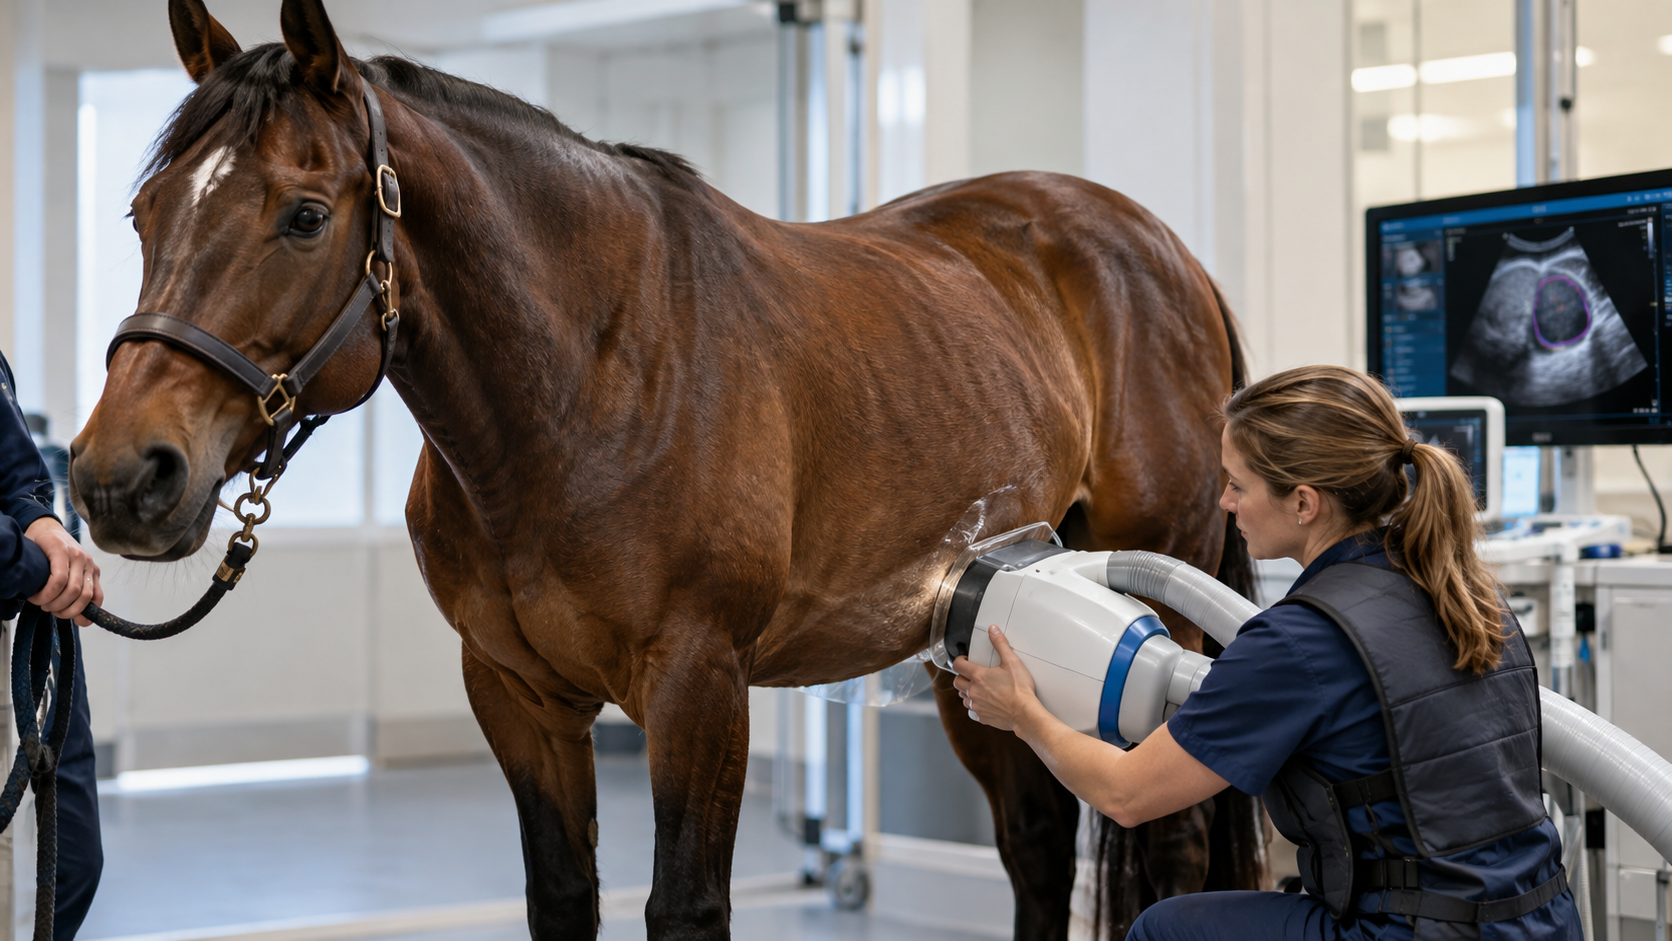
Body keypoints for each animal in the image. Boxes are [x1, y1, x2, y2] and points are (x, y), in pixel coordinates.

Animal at [69, 1, 1262, 937]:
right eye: (143, 211)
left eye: (305, 215)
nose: (120, 477)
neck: (587, 384)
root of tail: (1169, 256)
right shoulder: (516, 692)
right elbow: (563, 892)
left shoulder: (699, 684)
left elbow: (684, 904)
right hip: (982, 638)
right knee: (1036, 844)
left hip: (1157, 619)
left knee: (1172, 842)